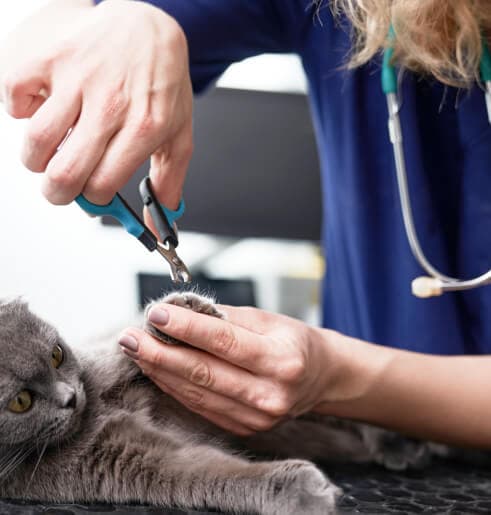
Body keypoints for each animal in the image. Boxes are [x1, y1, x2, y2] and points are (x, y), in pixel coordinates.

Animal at [0, 292, 450, 512]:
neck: (95, 413)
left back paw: (402, 444)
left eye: (56, 354)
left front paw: (178, 314)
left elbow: (126, 349)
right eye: (21, 401)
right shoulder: (118, 460)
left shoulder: (100, 364)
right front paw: (301, 488)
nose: (70, 399)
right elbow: (204, 470)